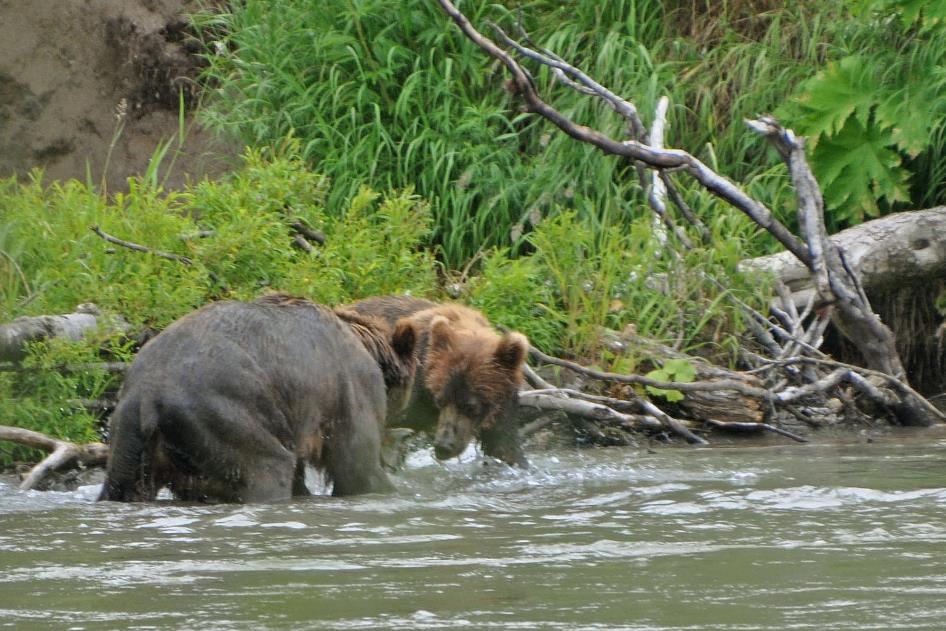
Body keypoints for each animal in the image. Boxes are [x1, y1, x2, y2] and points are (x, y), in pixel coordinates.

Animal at [97, 294, 416, 506]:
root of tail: (147, 396)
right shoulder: (347, 388)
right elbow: (357, 467)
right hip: (226, 416)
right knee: (268, 467)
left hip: (131, 438)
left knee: (123, 486)